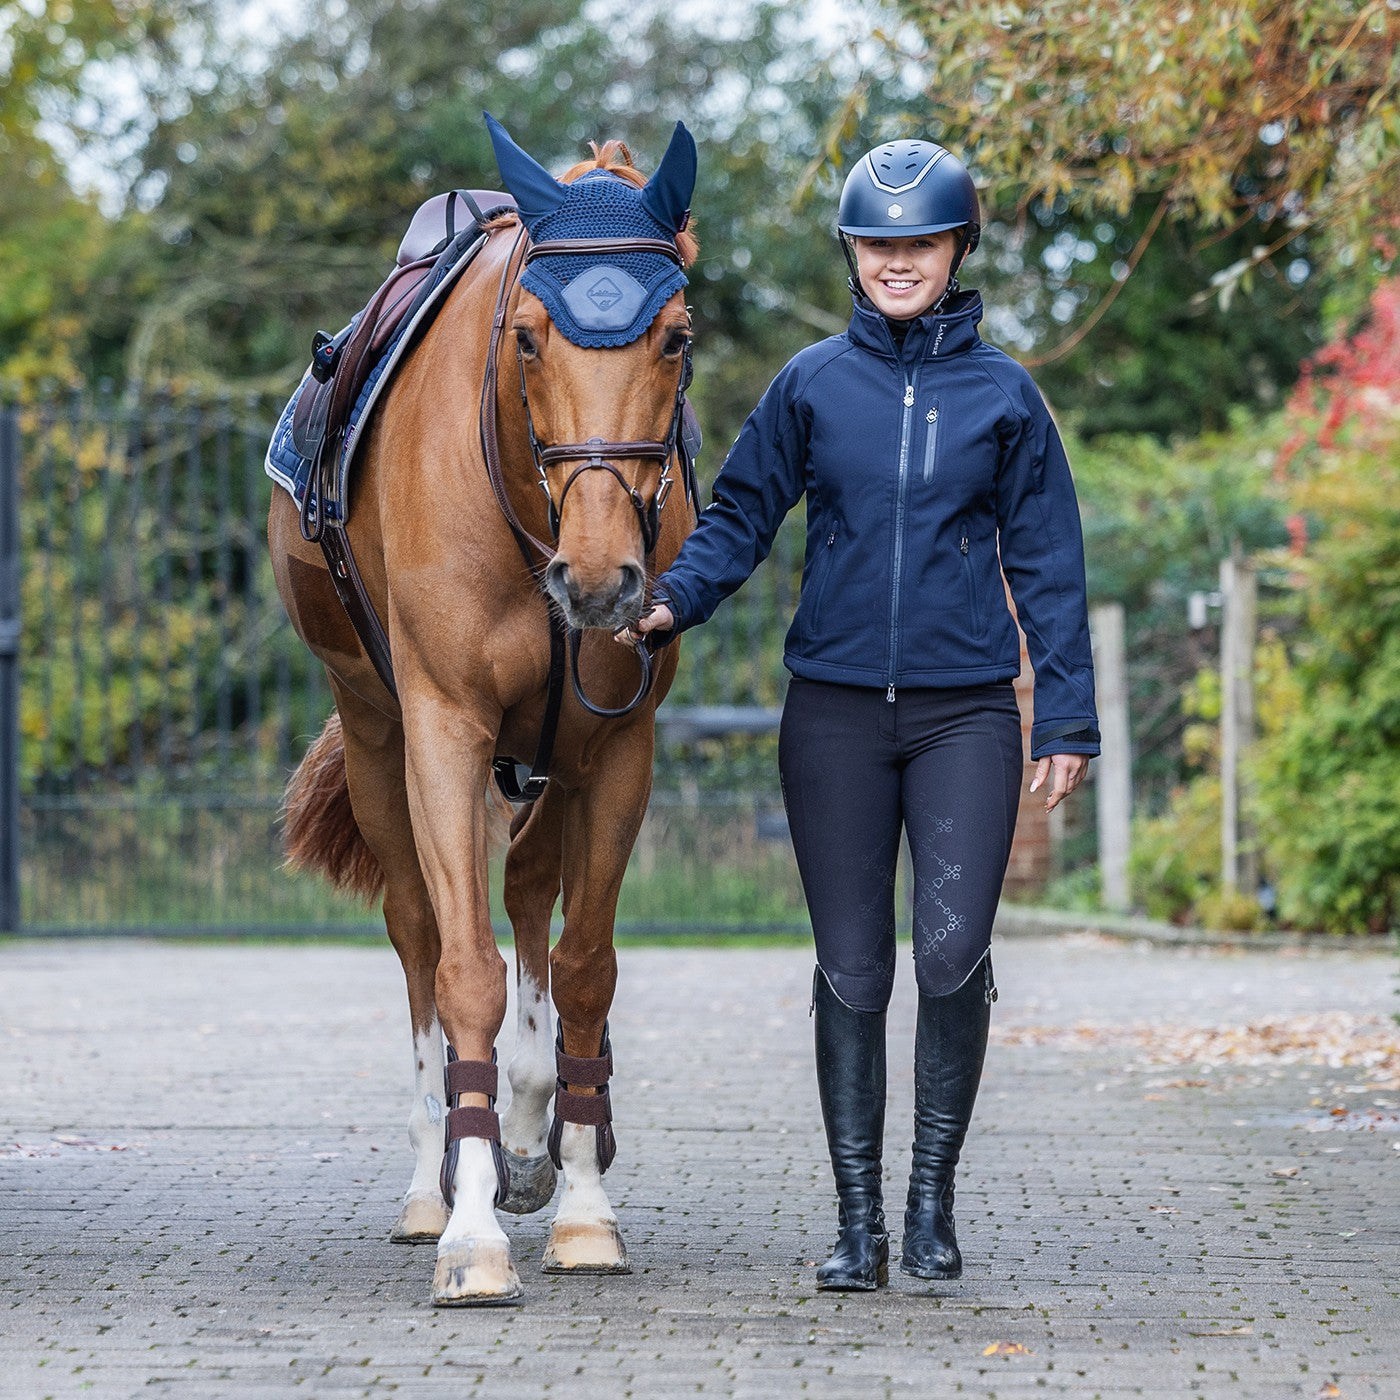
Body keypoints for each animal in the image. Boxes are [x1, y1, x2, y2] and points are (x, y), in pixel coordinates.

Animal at [266, 117, 694, 1299]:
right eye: (532, 340)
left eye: (677, 336)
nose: (600, 578)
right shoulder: (446, 730)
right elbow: (461, 972)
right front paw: (469, 1230)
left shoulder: (617, 744)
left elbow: (586, 969)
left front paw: (582, 1202)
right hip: (379, 737)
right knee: (419, 930)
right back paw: (434, 1185)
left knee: (531, 892)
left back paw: (535, 1133)